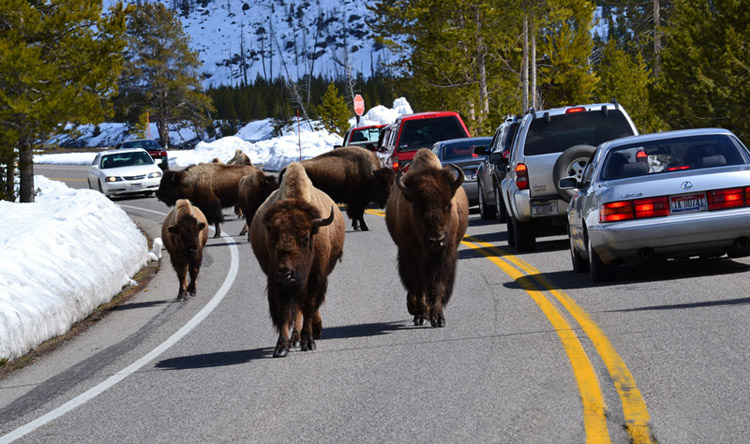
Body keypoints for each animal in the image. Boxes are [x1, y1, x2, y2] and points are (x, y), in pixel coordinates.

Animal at [388, 148, 470, 326]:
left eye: (448, 205)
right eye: (416, 208)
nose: (436, 241)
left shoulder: (444, 255)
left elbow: (437, 285)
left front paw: (438, 318)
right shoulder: (411, 255)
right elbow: (418, 284)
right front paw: (420, 315)